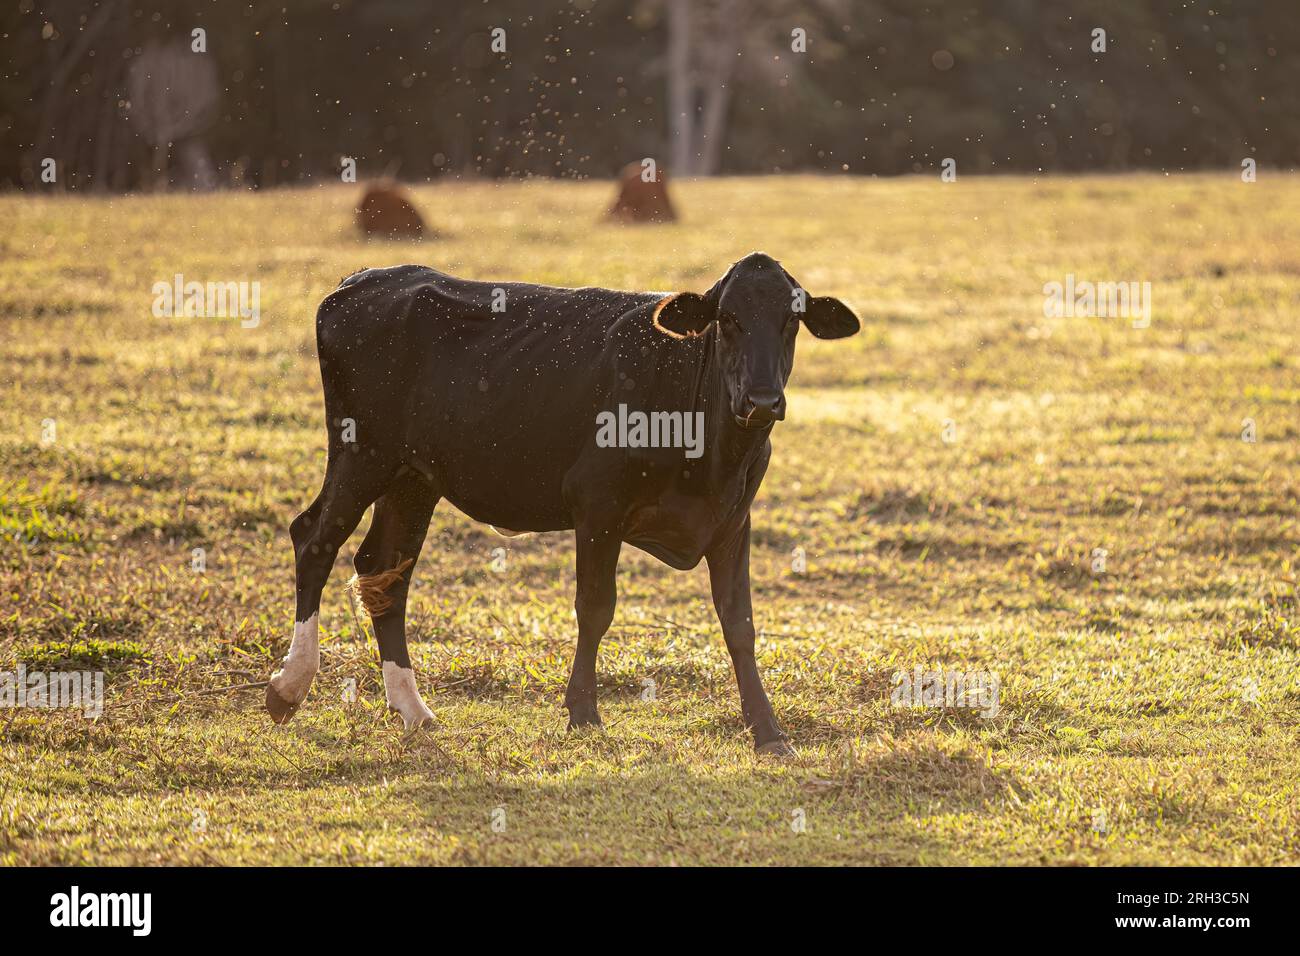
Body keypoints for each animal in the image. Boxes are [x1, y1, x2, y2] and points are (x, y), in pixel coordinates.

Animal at [265, 252, 860, 754]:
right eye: (727, 319)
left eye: (791, 320)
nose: (762, 400)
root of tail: (365, 279)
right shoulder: (598, 506)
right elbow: (595, 608)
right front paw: (583, 712)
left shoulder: (734, 520)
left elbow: (740, 623)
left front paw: (767, 728)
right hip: (361, 453)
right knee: (314, 539)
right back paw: (290, 686)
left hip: (413, 478)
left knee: (384, 569)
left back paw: (412, 708)